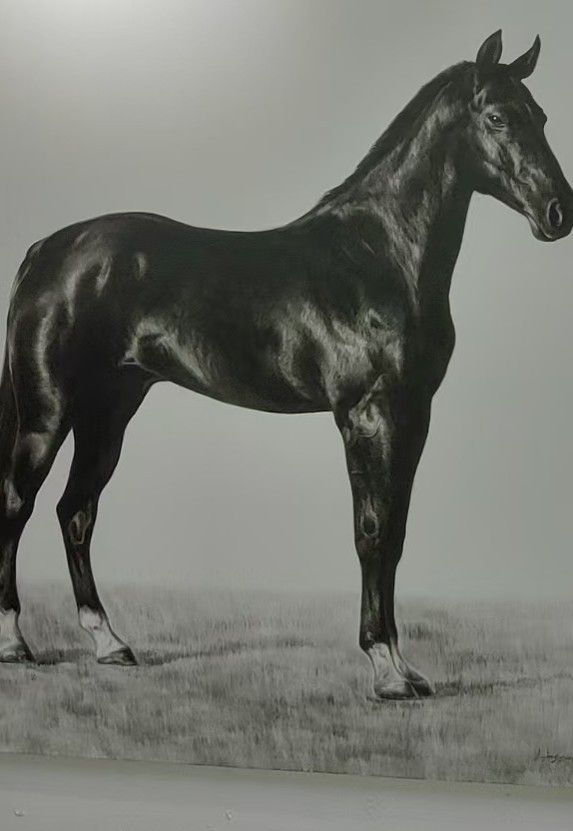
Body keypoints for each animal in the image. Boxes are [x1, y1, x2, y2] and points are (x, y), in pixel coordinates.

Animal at [0, 30, 571, 699]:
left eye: (541, 116)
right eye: (499, 118)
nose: (558, 212)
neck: (379, 255)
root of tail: (48, 249)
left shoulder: (413, 415)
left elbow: (397, 533)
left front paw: (407, 669)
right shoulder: (368, 416)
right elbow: (372, 531)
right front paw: (385, 668)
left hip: (110, 411)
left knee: (76, 511)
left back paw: (110, 643)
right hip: (47, 413)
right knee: (18, 503)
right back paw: (14, 643)